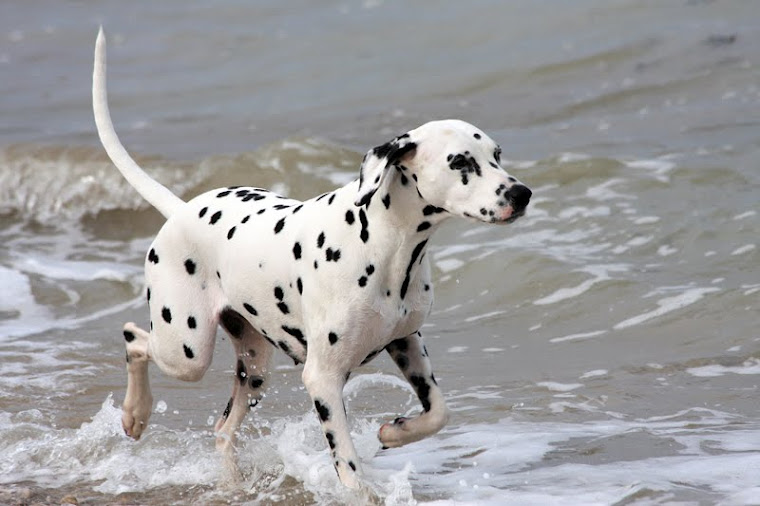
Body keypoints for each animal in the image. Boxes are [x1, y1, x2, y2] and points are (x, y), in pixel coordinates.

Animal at [92, 28, 532, 490]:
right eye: (461, 162)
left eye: (497, 155)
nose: (522, 194)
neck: (386, 245)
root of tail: (181, 209)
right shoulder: (323, 379)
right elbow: (349, 467)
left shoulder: (407, 341)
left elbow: (439, 412)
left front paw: (395, 431)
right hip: (186, 351)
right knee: (133, 338)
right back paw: (135, 415)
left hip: (254, 369)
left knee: (222, 430)